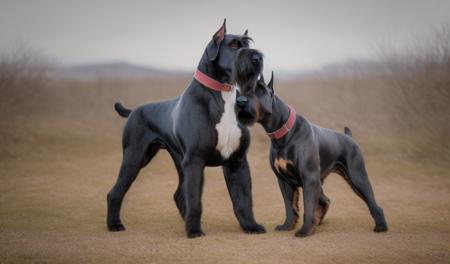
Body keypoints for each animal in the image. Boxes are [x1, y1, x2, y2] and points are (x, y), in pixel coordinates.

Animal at [107, 20, 266, 238]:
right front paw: (194, 231)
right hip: (135, 158)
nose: (257, 58)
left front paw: (251, 226)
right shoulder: (195, 161)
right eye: (234, 45)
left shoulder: (237, 161)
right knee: (115, 192)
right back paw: (114, 224)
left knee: (178, 195)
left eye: (247, 44)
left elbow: (243, 200)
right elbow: (196, 200)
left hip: (176, 162)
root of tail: (133, 111)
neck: (222, 95)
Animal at [232, 48, 386, 237]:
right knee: (325, 200)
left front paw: (304, 231)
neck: (283, 133)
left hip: (356, 176)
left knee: (372, 202)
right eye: (243, 90)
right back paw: (317, 222)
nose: (241, 101)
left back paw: (381, 226)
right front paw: (287, 226)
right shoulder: (284, 180)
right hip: (323, 181)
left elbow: (307, 206)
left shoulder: (308, 178)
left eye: (260, 89)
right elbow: (290, 207)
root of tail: (349, 136)